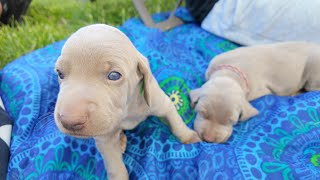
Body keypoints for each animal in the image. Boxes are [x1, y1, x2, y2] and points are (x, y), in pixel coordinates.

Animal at [54, 24, 200, 180]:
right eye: (60, 73)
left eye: (114, 75)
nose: (69, 121)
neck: (126, 109)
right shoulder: (105, 141)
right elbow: (115, 166)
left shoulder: (163, 104)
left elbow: (176, 123)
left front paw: (190, 137)